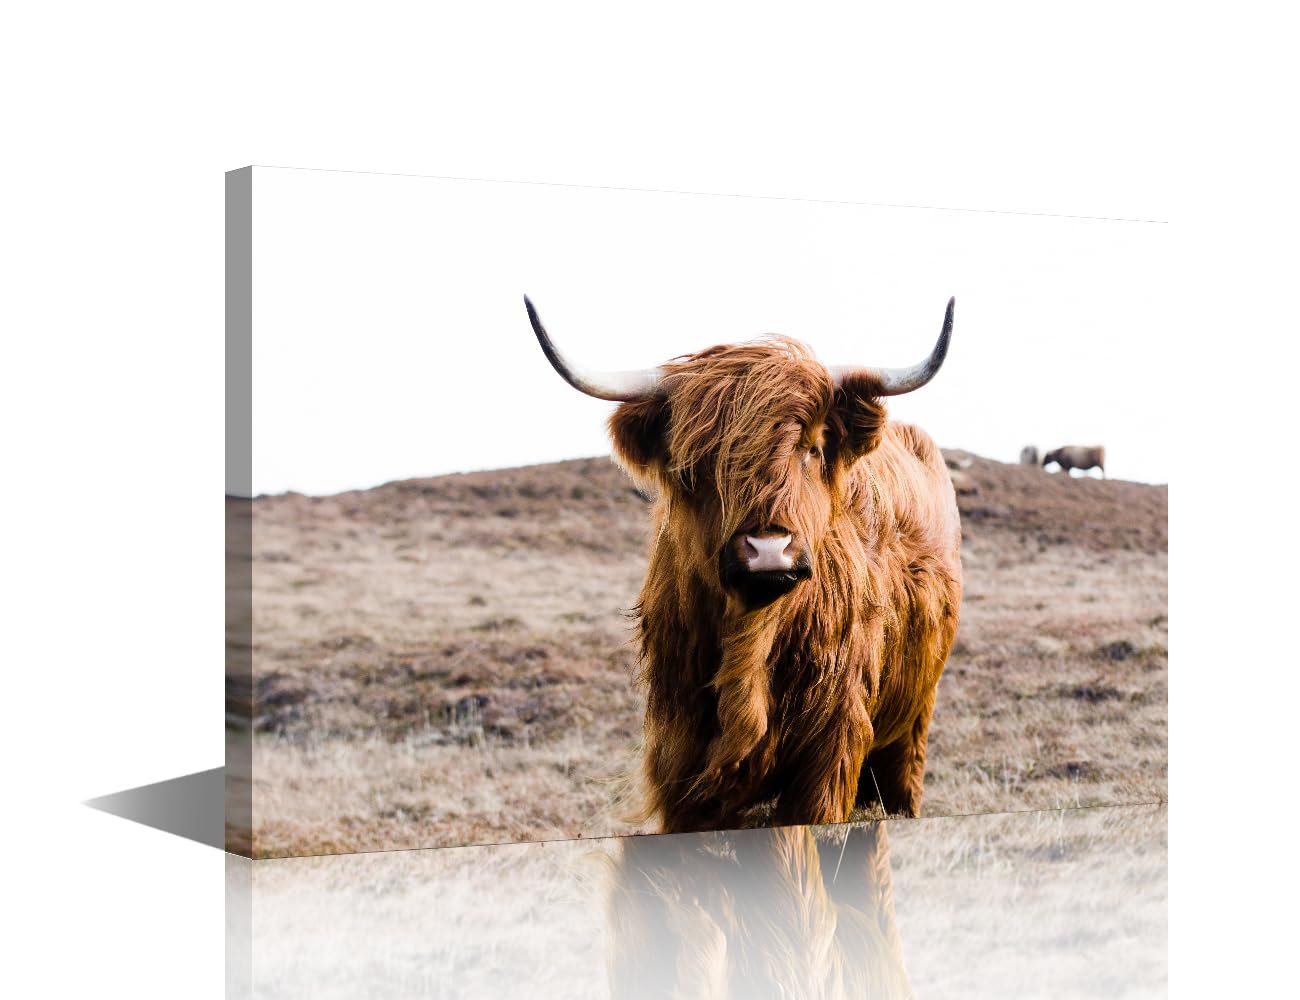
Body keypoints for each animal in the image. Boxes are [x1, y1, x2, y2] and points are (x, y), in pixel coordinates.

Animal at [526, 296, 962, 832]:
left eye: (811, 448)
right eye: (697, 462)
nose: (768, 549)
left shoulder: (830, 751)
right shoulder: (680, 755)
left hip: (914, 719)